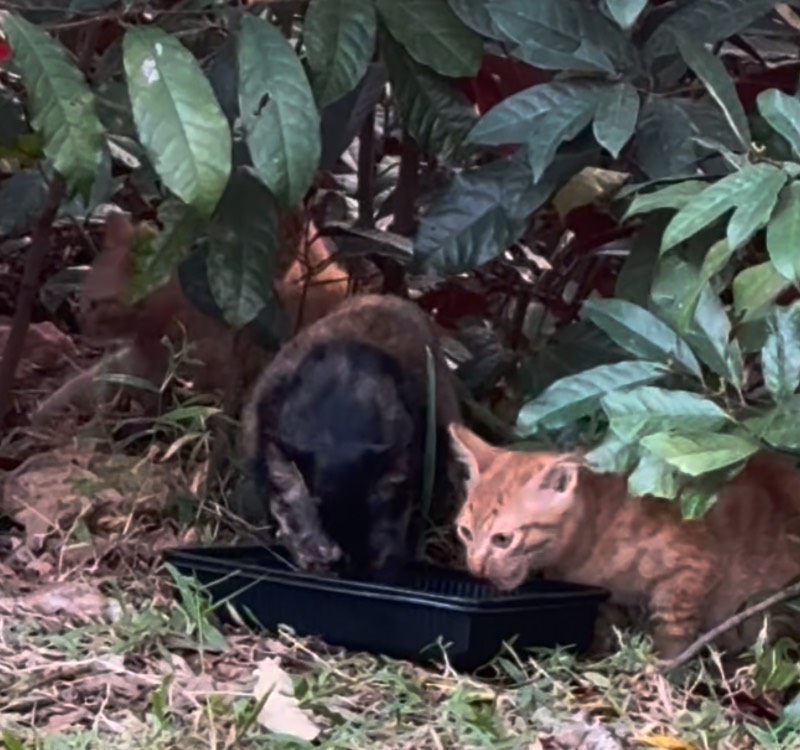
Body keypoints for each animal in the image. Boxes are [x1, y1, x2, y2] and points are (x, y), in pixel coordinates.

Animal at [448, 422, 800, 661]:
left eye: (503, 539)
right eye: (465, 533)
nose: (475, 567)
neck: (594, 529)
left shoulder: (692, 568)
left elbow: (672, 633)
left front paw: (663, 672)